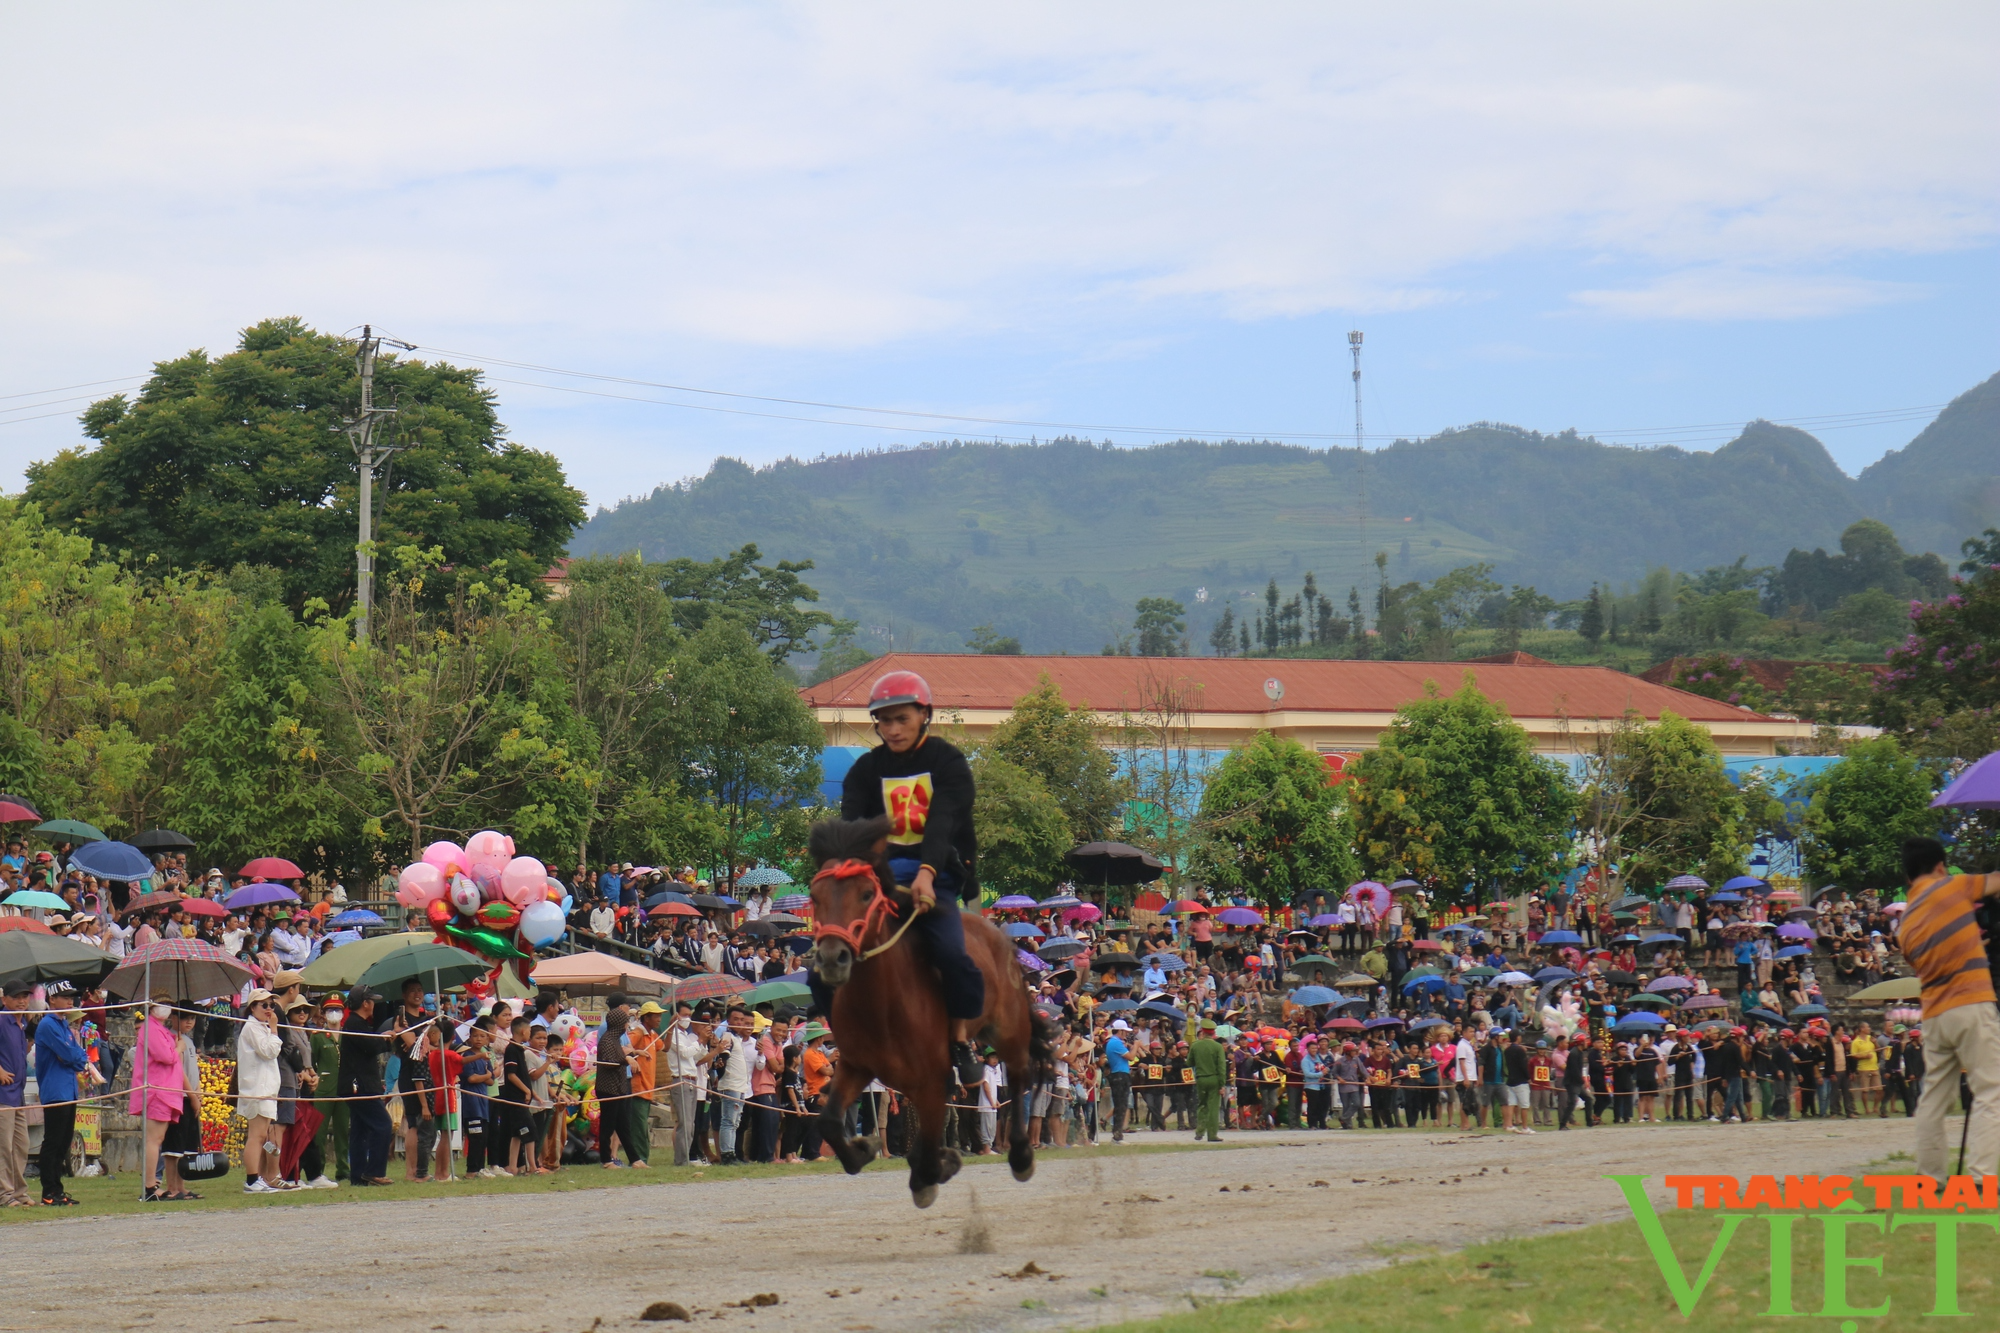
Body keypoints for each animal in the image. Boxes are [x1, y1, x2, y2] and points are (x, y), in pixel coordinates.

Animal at [804, 808, 1056, 1200]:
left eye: (866, 894)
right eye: (815, 897)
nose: (832, 958)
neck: (881, 1005)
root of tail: (1001, 936)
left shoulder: (932, 1080)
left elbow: (928, 1153)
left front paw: (936, 1166)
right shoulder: (856, 1065)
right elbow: (830, 1122)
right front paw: (863, 1148)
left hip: (1009, 1030)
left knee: (1018, 1077)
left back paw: (1019, 1155)